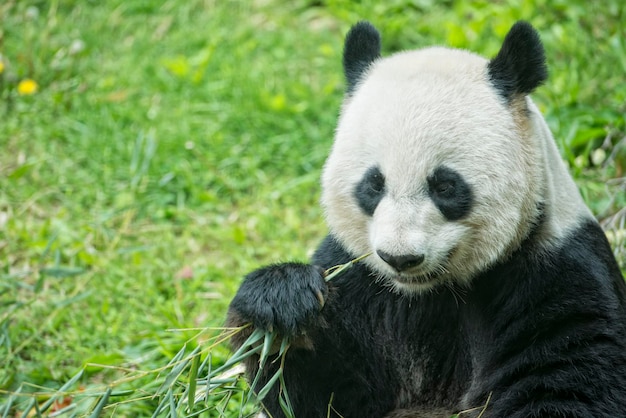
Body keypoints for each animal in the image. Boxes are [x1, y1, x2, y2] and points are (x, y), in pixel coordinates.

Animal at [227, 20, 624, 418]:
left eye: (445, 186)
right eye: (374, 184)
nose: (400, 258)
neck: (426, 294)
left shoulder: (554, 273)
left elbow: (567, 383)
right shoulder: (358, 281)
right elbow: (325, 396)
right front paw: (283, 304)